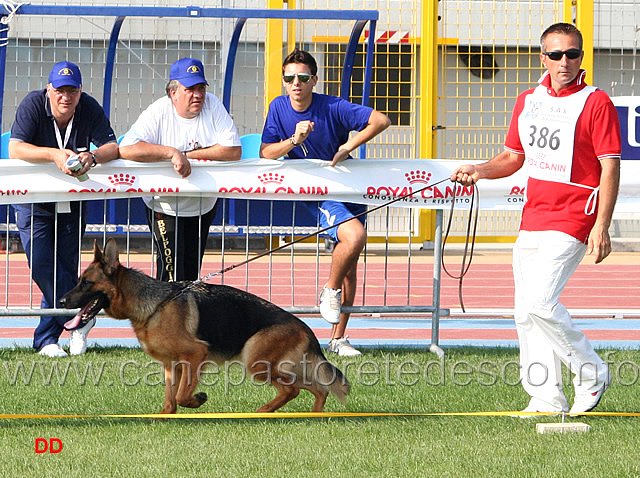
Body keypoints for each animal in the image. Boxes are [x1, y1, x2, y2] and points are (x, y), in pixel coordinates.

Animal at [60, 239, 350, 414]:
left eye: (86, 283)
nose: (61, 301)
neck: (155, 305)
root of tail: (306, 329)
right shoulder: (171, 365)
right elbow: (170, 400)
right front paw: (165, 417)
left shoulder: (195, 355)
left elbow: (181, 395)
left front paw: (197, 399)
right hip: (274, 365)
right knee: (317, 387)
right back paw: (310, 414)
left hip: (256, 362)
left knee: (293, 388)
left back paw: (264, 412)